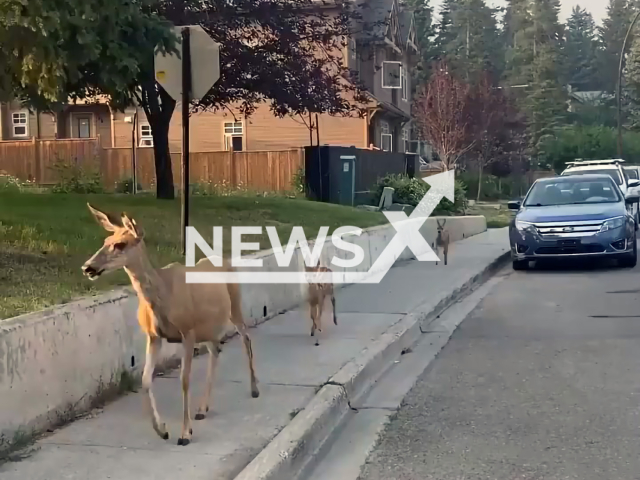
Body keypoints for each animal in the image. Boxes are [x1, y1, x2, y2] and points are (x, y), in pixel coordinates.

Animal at [81, 203, 258, 446]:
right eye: (105, 240)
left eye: (120, 244)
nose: (88, 267)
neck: (162, 296)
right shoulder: (154, 336)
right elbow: (146, 380)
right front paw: (162, 430)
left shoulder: (188, 331)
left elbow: (184, 380)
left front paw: (185, 434)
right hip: (209, 326)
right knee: (216, 351)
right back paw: (202, 408)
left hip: (235, 304)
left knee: (246, 337)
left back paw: (254, 389)